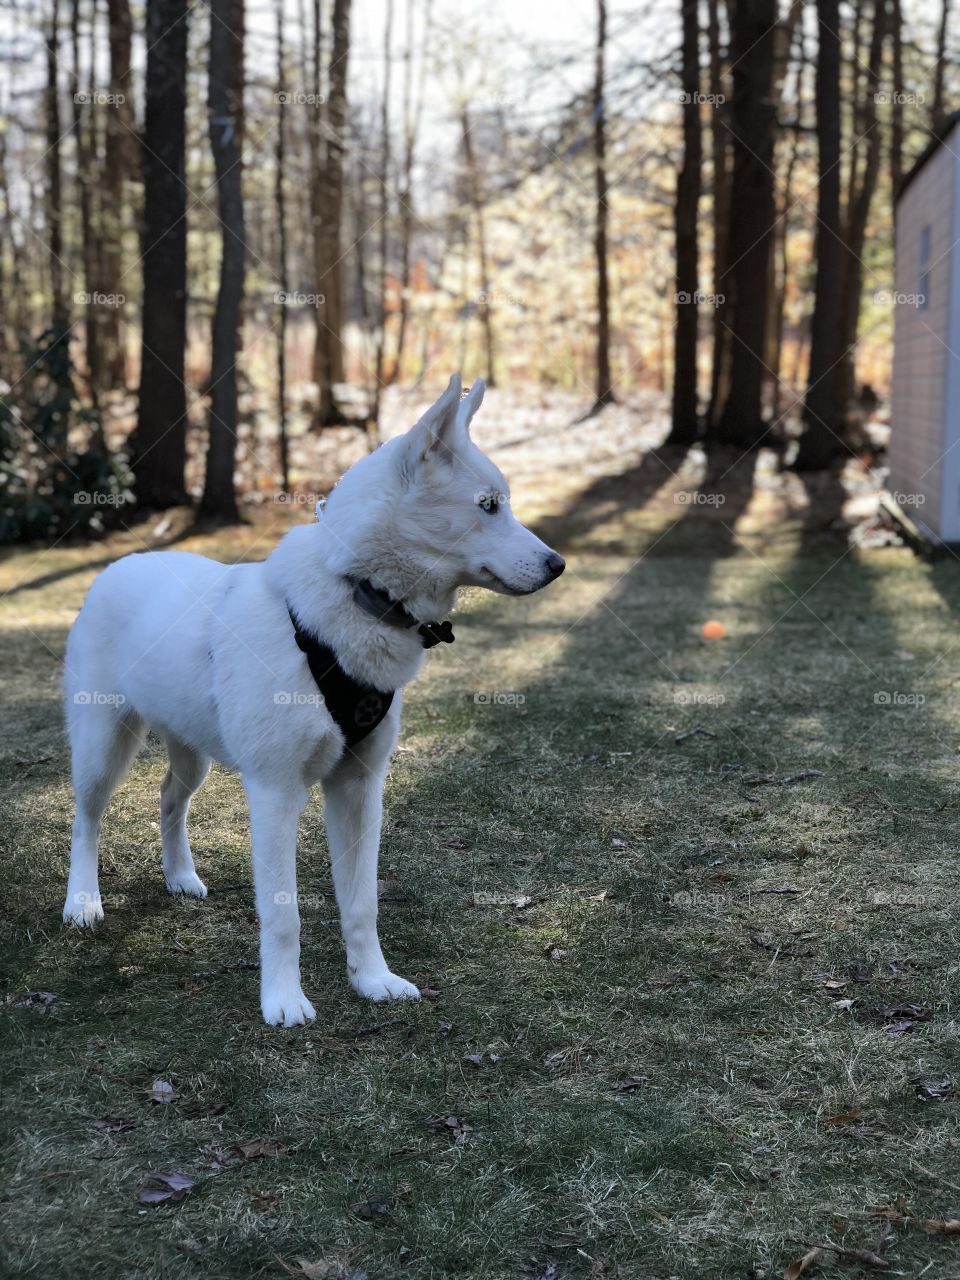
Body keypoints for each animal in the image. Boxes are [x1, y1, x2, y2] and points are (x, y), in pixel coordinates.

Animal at [60, 373, 568, 1024]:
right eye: (488, 506)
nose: (559, 565)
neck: (358, 591)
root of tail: (116, 567)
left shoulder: (359, 789)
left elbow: (362, 903)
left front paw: (373, 980)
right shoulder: (276, 793)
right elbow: (283, 914)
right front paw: (283, 1000)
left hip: (193, 752)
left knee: (170, 798)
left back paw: (180, 877)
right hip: (103, 747)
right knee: (86, 820)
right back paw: (82, 902)